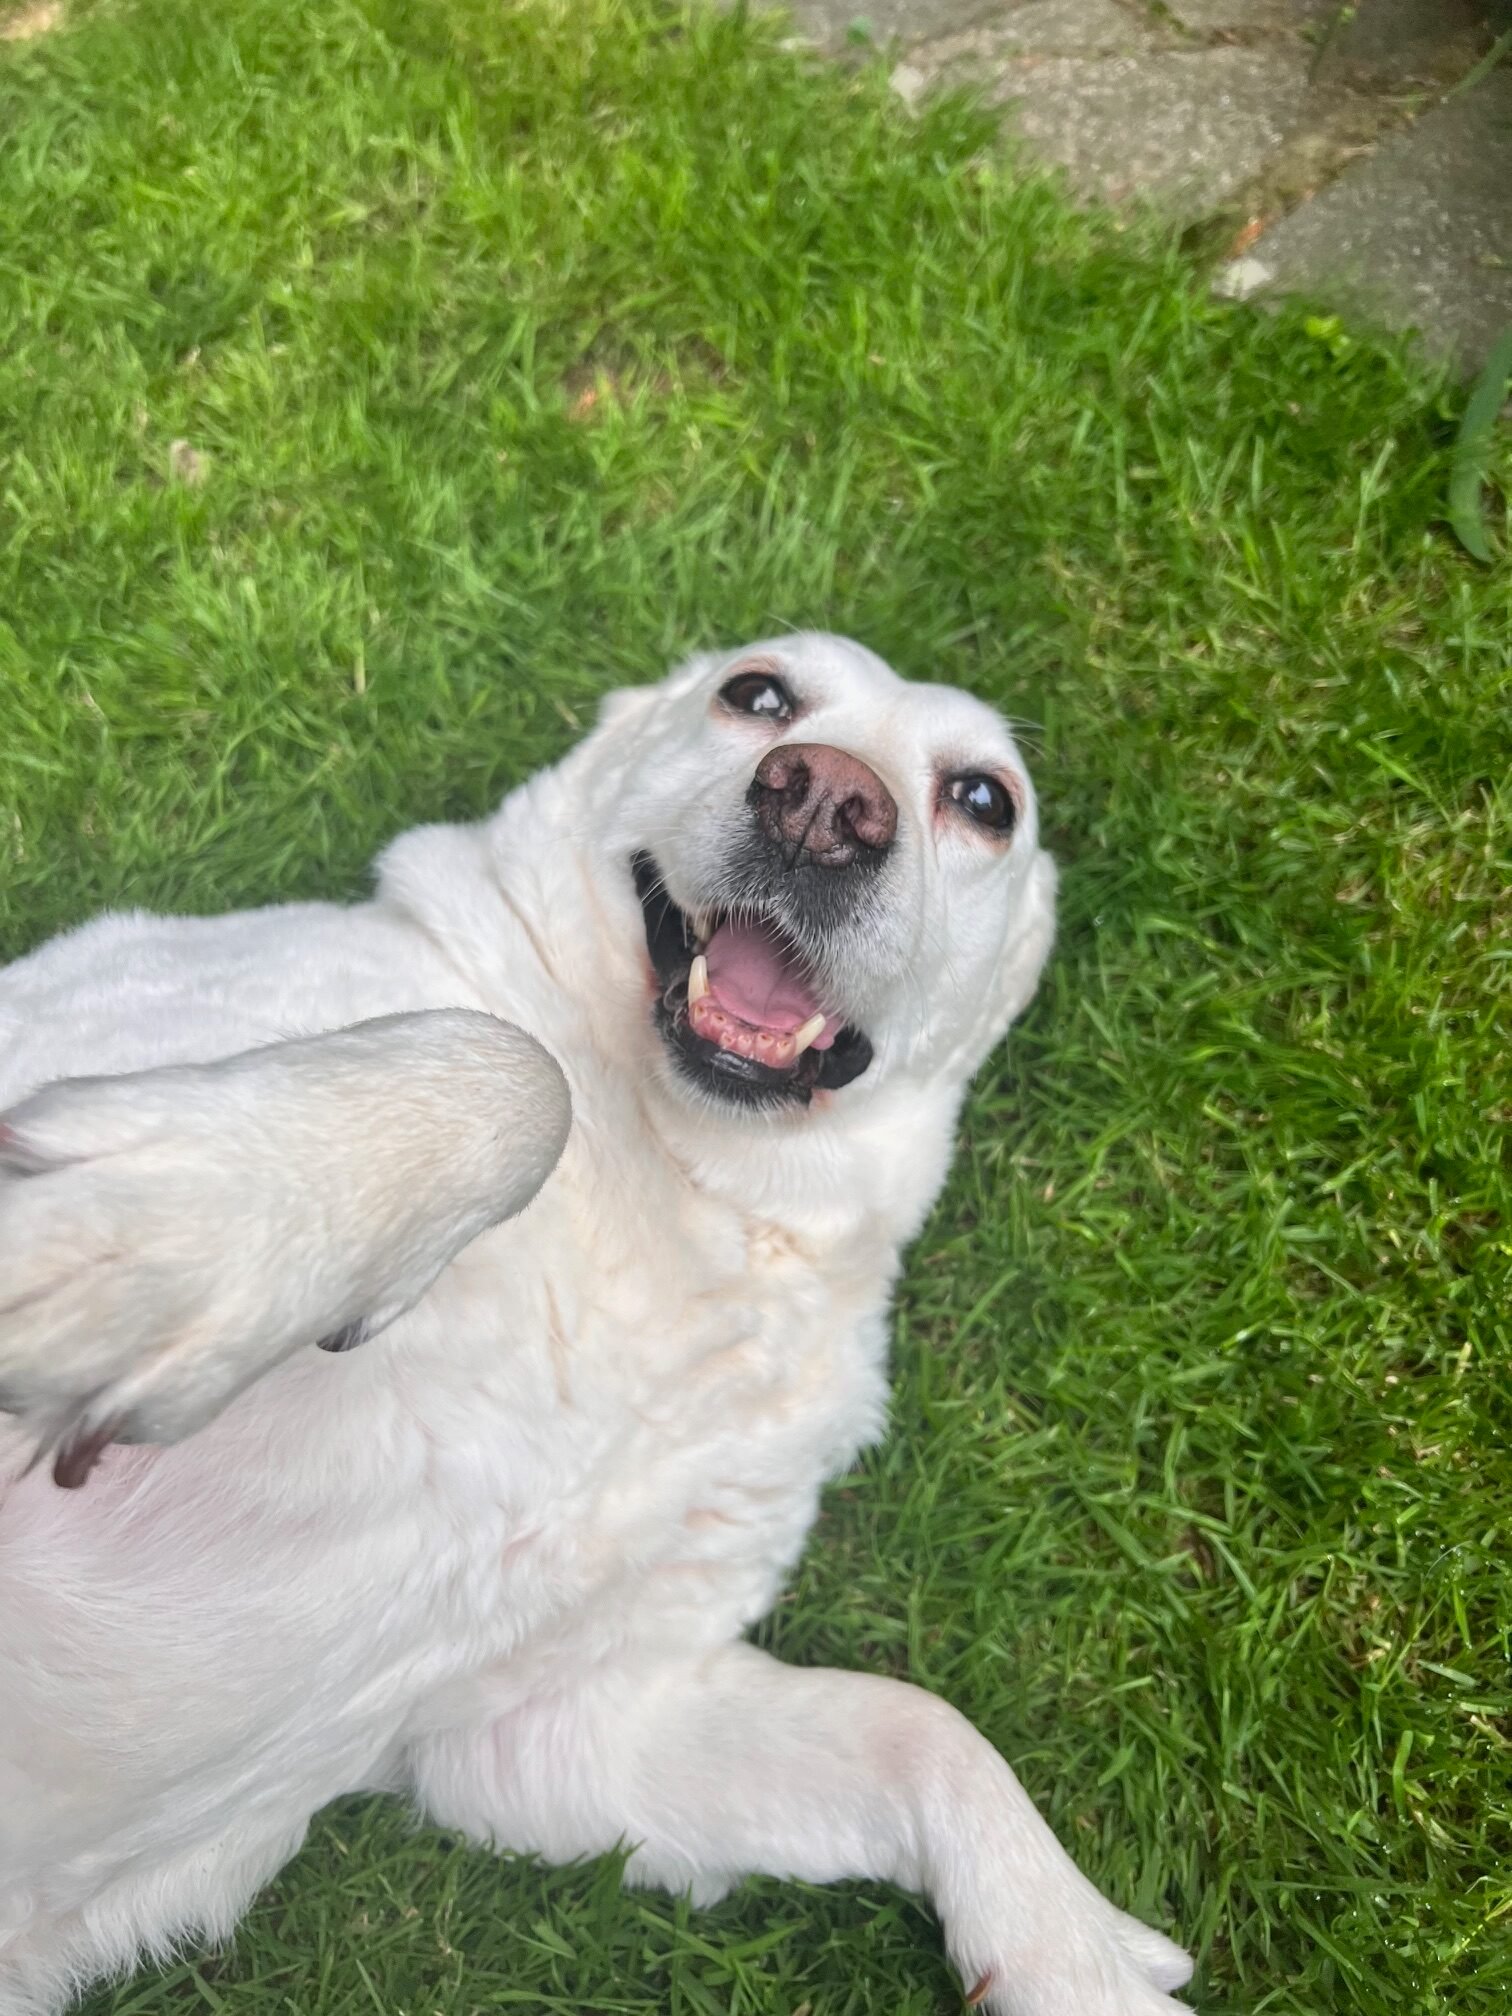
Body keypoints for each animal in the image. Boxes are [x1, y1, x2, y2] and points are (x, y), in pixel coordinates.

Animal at [0, 633, 1193, 2016]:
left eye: (985, 799)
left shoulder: (567, 1730)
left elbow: (928, 1728)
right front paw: (169, 1233)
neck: (702, 1191)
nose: (826, 802)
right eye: (760, 693)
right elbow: (515, 1068)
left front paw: (1073, 1961)